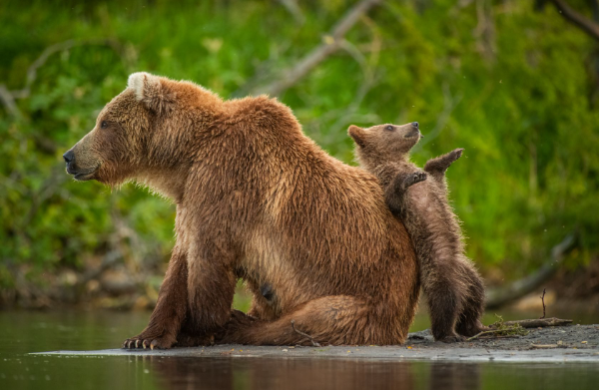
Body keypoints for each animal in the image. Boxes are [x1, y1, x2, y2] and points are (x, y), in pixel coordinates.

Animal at [63, 72, 420, 348]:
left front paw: (196, 330)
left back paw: (240, 323)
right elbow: (178, 266)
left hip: (370, 292)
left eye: (104, 122)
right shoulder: (192, 197)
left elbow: (208, 262)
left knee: (315, 318)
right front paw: (144, 338)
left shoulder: (226, 185)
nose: (69, 156)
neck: (185, 157)